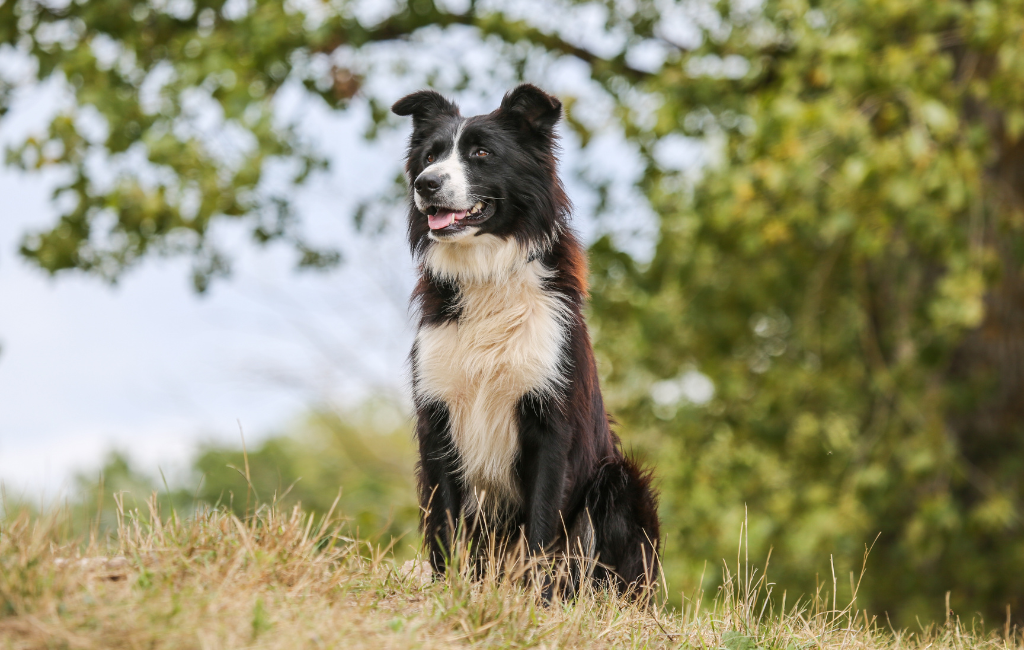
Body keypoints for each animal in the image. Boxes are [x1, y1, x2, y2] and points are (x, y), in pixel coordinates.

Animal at [391, 83, 663, 597]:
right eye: (430, 156)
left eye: (481, 153)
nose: (426, 185)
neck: (487, 274)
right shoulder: (438, 417)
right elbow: (445, 523)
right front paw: (449, 588)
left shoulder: (550, 422)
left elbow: (541, 523)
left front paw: (533, 600)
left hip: (618, 481)